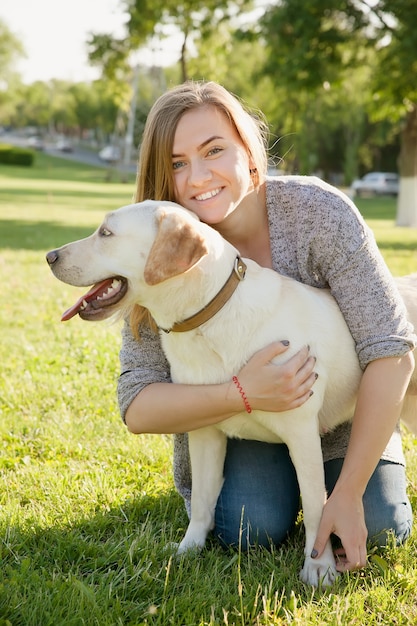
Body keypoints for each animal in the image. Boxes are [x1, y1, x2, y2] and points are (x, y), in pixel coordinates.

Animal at [46, 200, 416, 584]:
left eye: (106, 233)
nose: (49, 256)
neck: (206, 320)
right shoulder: (204, 432)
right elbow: (202, 501)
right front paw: (188, 550)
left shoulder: (302, 433)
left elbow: (318, 506)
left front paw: (320, 566)